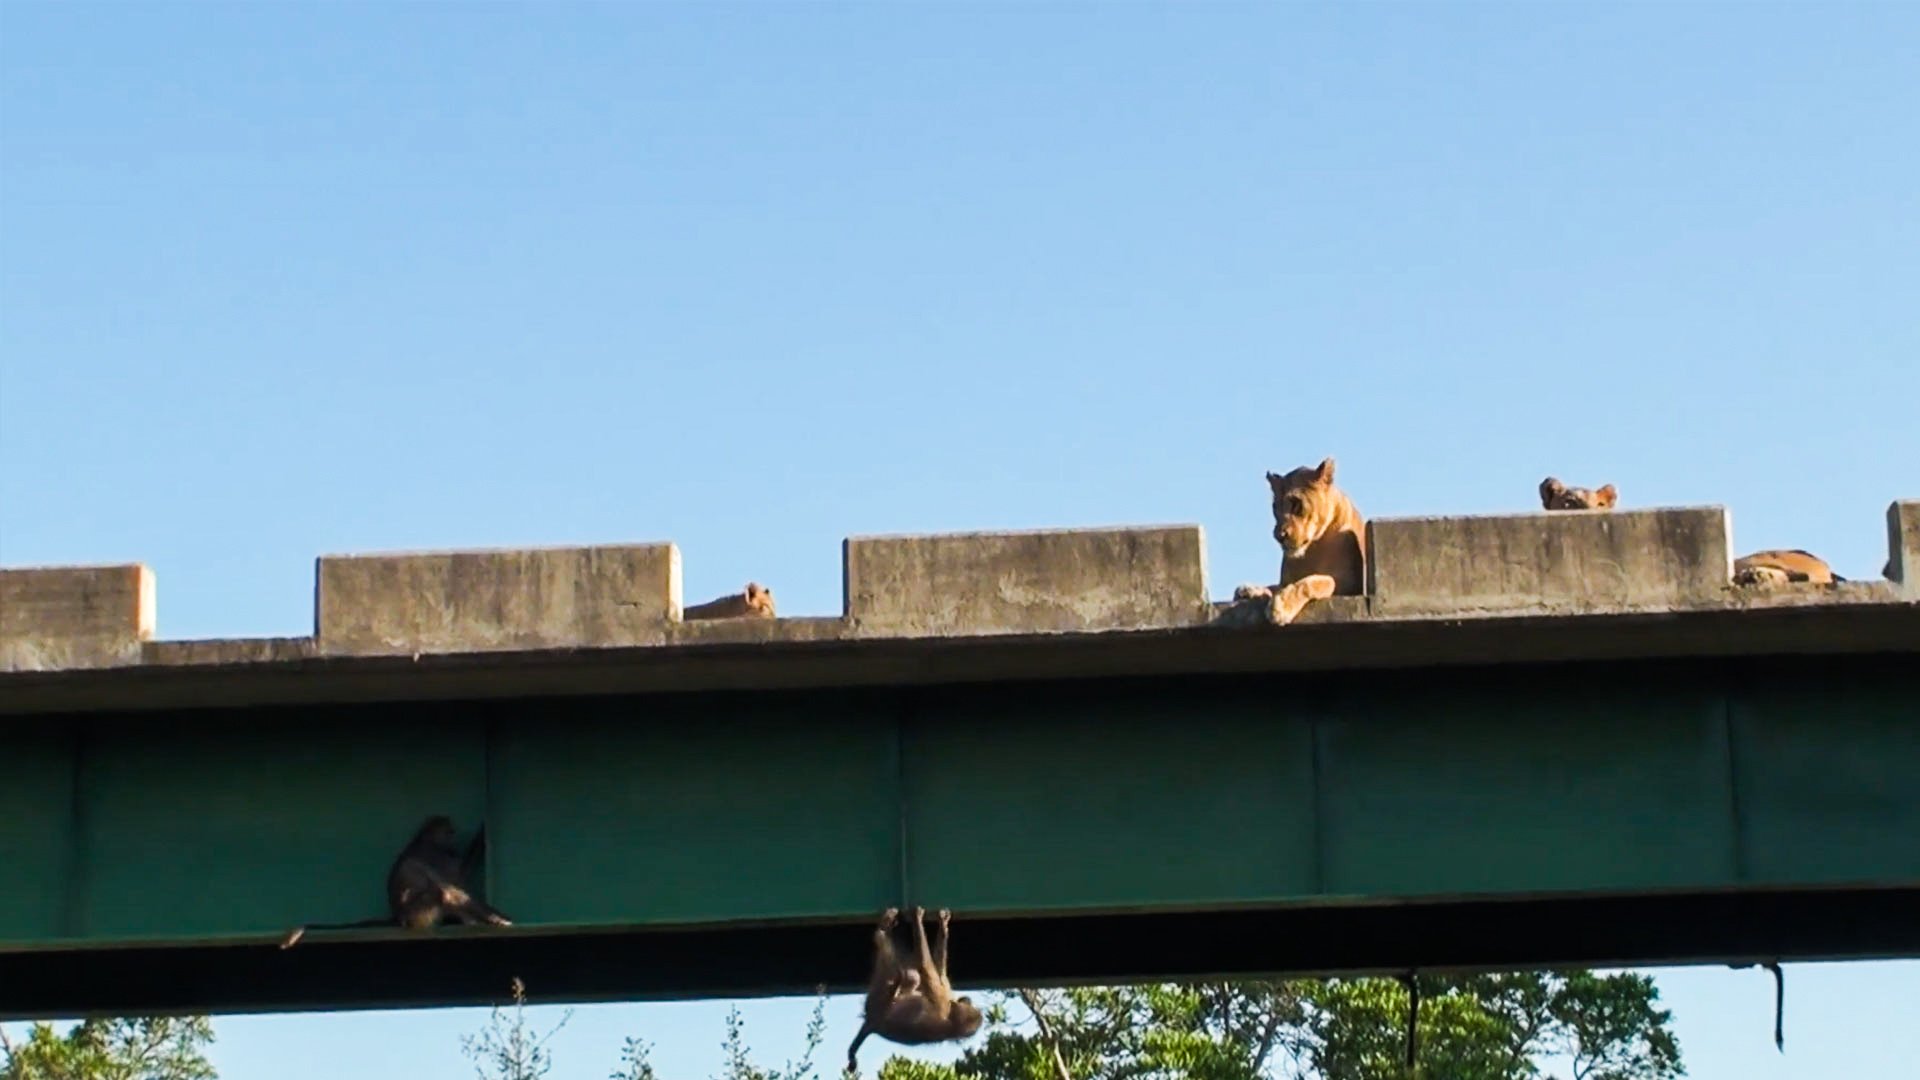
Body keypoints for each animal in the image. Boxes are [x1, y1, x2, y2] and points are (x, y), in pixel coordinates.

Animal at [1233, 456, 1365, 626]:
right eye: (1275, 507)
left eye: (1296, 504)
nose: (1279, 536)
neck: (1312, 549)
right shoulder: (1285, 580)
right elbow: (1275, 586)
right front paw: (1251, 590)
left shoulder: (1352, 586)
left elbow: (1319, 581)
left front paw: (1281, 606)